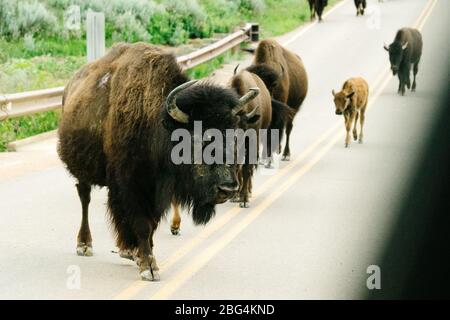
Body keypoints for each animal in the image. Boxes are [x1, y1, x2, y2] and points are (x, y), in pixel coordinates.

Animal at [58, 42, 260, 280]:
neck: (157, 124)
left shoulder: (157, 192)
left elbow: (151, 225)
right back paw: (84, 244)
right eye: (199, 139)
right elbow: (142, 224)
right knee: (85, 198)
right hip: (83, 171)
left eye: (234, 136)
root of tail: (70, 87)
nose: (227, 189)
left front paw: (142, 256)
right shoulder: (133, 187)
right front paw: (149, 267)